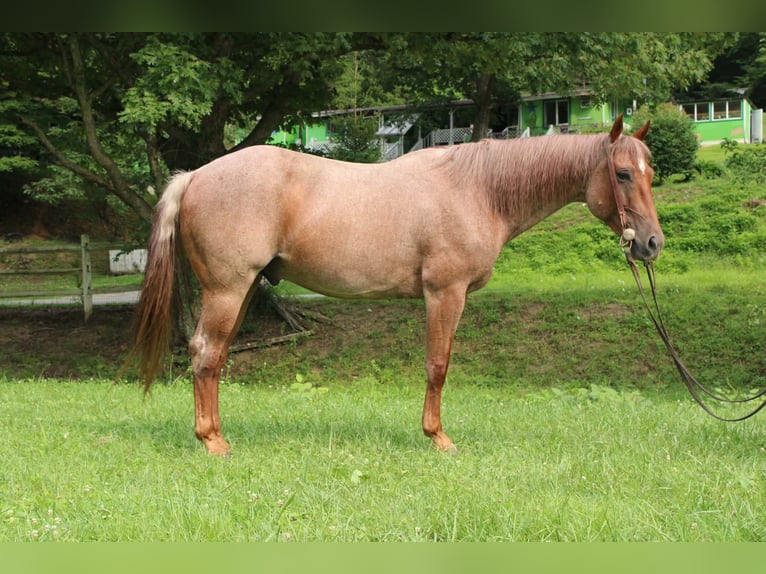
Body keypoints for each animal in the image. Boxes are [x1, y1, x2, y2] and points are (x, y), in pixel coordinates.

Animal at [126, 114, 663, 455]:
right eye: (621, 173)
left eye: (651, 172)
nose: (652, 244)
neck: (479, 190)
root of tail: (195, 176)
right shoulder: (445, 293)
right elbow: (437, 366)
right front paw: (438, 438)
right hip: (226, 290)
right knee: (205, 354)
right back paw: (212, 442)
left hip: (241, 292)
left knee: (214, 359)